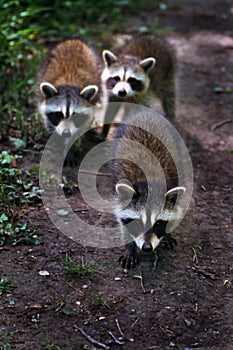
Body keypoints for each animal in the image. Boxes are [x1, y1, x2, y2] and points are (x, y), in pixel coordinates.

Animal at [112, 108, 187, 270]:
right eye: (138, 223)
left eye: (158, 223)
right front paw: (129, 248)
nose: (147, 248)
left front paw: (168, 233)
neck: (149, 182)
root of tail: (146, 110)